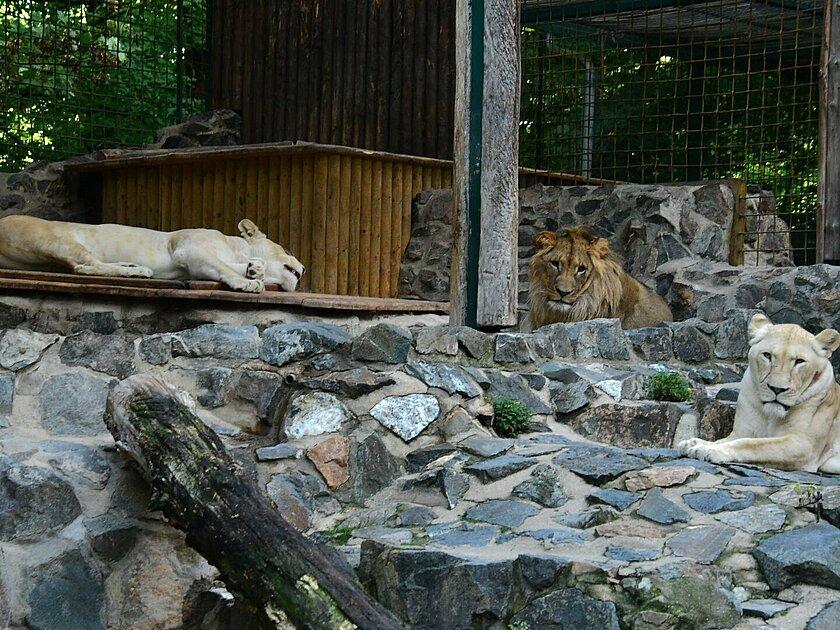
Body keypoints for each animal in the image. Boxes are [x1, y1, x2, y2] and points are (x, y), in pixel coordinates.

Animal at [0, 215, 304, 293]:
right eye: (287, 250)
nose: (303, 269)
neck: (233, 246)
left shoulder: (192, 265)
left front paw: (255, 269)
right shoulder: (188, 250)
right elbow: (223, 266)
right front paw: (248, 281)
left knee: (83, 266)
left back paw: (132, 267)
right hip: (56, 239)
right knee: (83, 266)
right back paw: (138, 271)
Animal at [679, 314, 840, 473]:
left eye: (799, 361)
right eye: (767, 355)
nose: (777, 389)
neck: (770, 416)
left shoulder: (804, 445)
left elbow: (752, 444)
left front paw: (708, 450)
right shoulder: (741, 432)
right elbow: (727, 440)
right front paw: (693, 443)